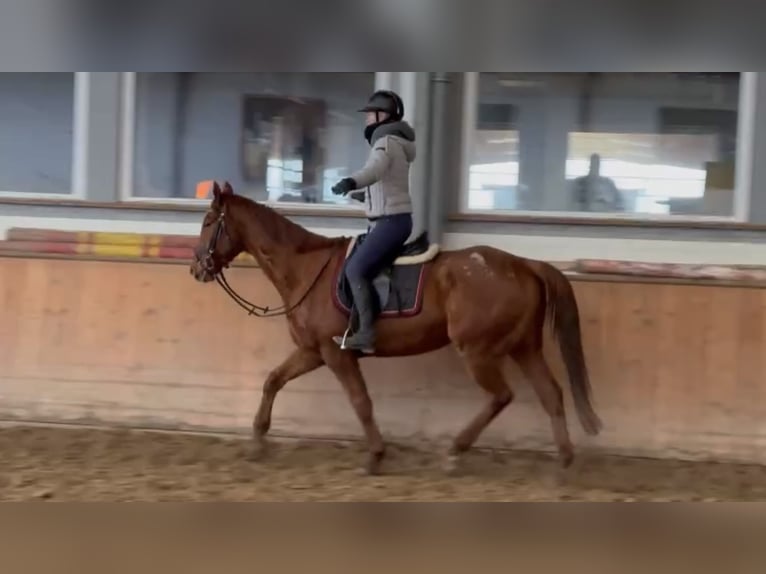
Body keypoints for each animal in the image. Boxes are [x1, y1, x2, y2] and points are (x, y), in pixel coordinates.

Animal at [190, 182, 600, 474]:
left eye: (209, 223)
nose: (197, 268)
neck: (306, 269)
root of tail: (525, 264)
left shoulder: (335, 353)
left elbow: (361, 402)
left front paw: (375, 456)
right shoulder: (312, 351)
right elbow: (272, 380)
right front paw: (258, 439)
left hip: (478, 350)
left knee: (501, 396)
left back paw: (455, 452)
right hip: (523, 347)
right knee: (551, 394)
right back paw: (563, 461)